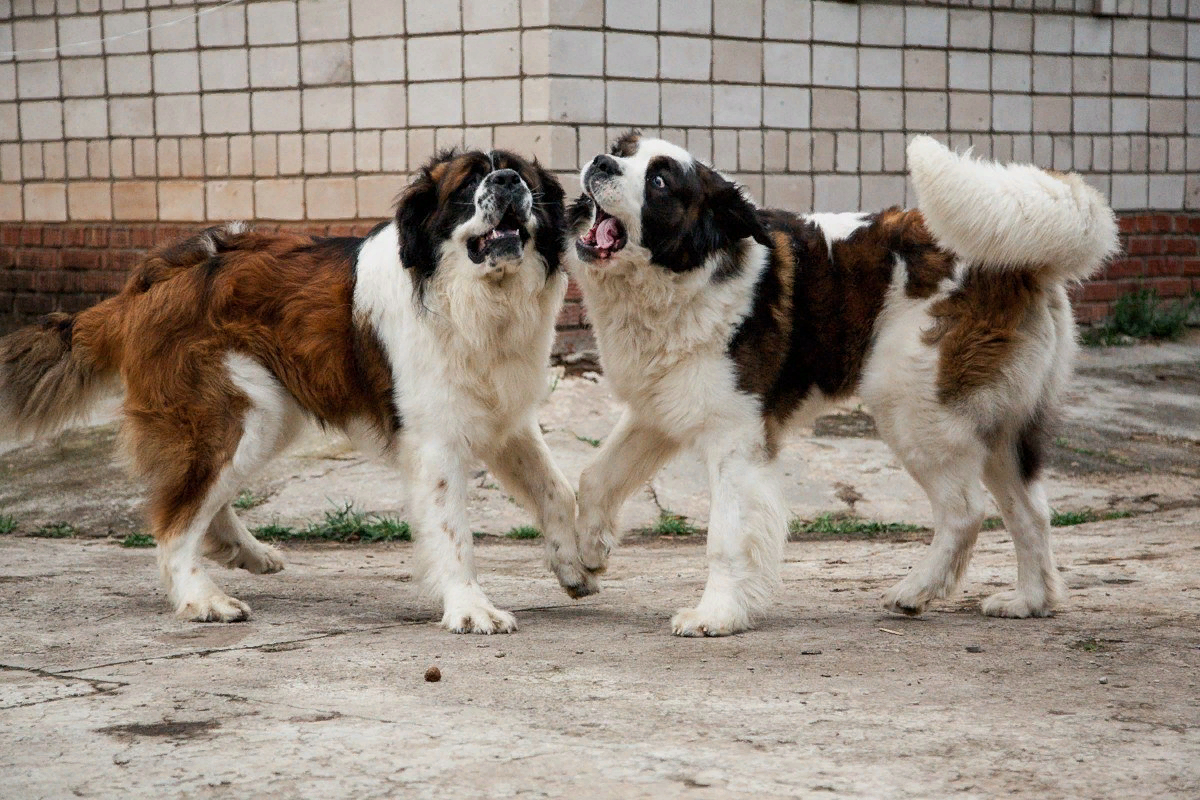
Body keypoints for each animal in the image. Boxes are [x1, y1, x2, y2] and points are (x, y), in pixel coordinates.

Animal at [1, 149, 595, 633]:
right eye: (468, 183)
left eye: (523, 177)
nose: (506, 180)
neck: (475, 298)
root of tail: (145, 284)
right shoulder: (436, 440)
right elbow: (453, 533)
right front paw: (470, 608)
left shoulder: (506, 419)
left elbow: (557, 490)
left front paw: (574, 563)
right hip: (238, 413)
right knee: (175, 520)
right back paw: (202, 598)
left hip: (265, 413)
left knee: (199, 498)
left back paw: (244, 551)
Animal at [566, 134, 1118, 642]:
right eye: (622, 149)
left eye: (659, 181)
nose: (600, 162)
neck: (691, 272)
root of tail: (1023, 263)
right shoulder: (657, 410)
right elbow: (595, 477)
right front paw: (584, 560)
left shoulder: (734, 438)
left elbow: (726, 534)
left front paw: (716, 615)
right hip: (997, 425)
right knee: (1029, 512)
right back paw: (1029, 601)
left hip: (913, 409)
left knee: (965, 511)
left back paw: (917, 590)